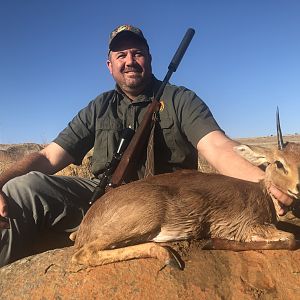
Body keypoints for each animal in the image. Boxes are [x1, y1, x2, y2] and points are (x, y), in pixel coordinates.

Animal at [71, 111, 300, 268]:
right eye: (279, 163)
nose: (298, 186)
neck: (263, 195)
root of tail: (87, 220)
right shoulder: (249, 227)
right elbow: (291, 239)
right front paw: (212, 243)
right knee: (83, 254)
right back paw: (167, 256)